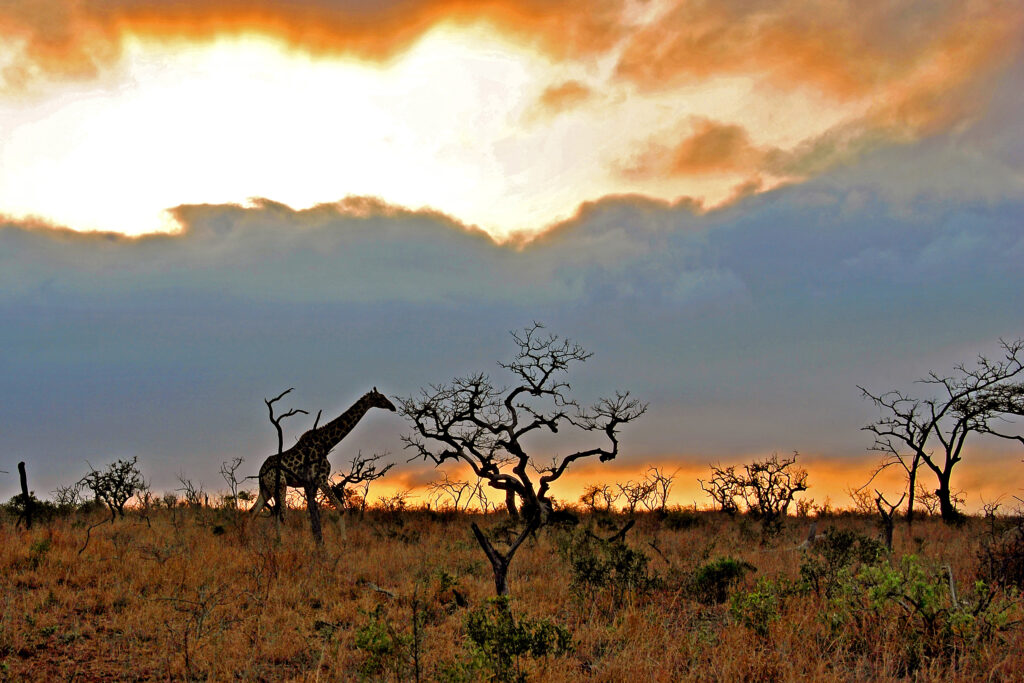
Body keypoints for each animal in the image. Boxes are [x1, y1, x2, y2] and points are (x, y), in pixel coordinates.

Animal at [249, 389, 397, 518]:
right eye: (380, 398)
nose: (393, 407)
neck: (326, 443)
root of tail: (261, 472)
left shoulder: (313, 483)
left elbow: (310, 514)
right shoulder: (321, 479)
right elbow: (341, 509)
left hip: (266, 488)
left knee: (253, 511)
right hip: (280, 485)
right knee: (282, 515)